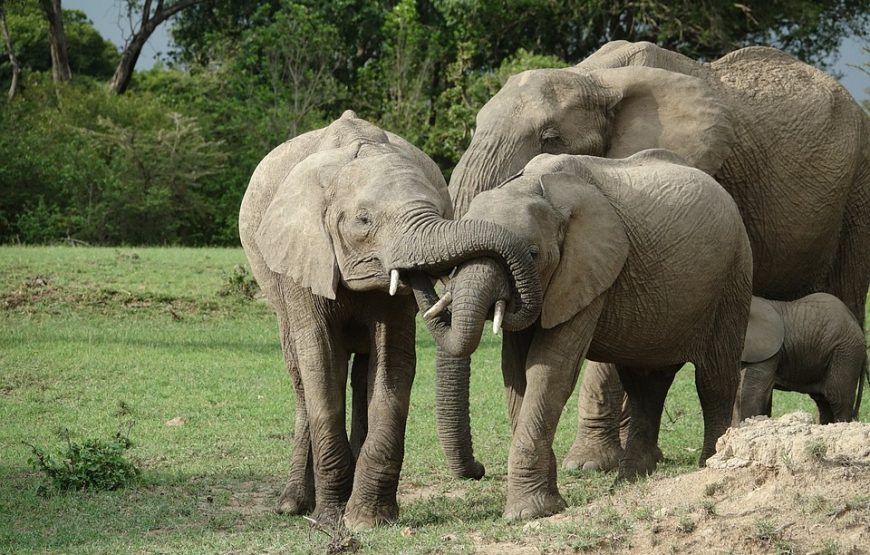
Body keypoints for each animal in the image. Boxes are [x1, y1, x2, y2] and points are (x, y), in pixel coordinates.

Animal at [237, 109, 540, 528]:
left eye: (440, 211)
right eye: (363, 221)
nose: (480, 469)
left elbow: (393, 361)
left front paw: (368, 520)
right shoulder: (302, 258)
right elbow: (320, 360)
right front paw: (330, 520)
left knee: (364, 371)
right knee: (299, 373)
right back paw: (292, 505)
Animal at [416, 149, 756, 520]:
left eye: (533, 254)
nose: (478, 470)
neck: (534, 188)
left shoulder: (586, 272)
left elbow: (549, 370)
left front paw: (530, 513)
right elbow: (516, 373)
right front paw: (542, 505)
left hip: (733, 275)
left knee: (713, 378)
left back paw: (710, 463)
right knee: (645, 383)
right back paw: (629, 480)